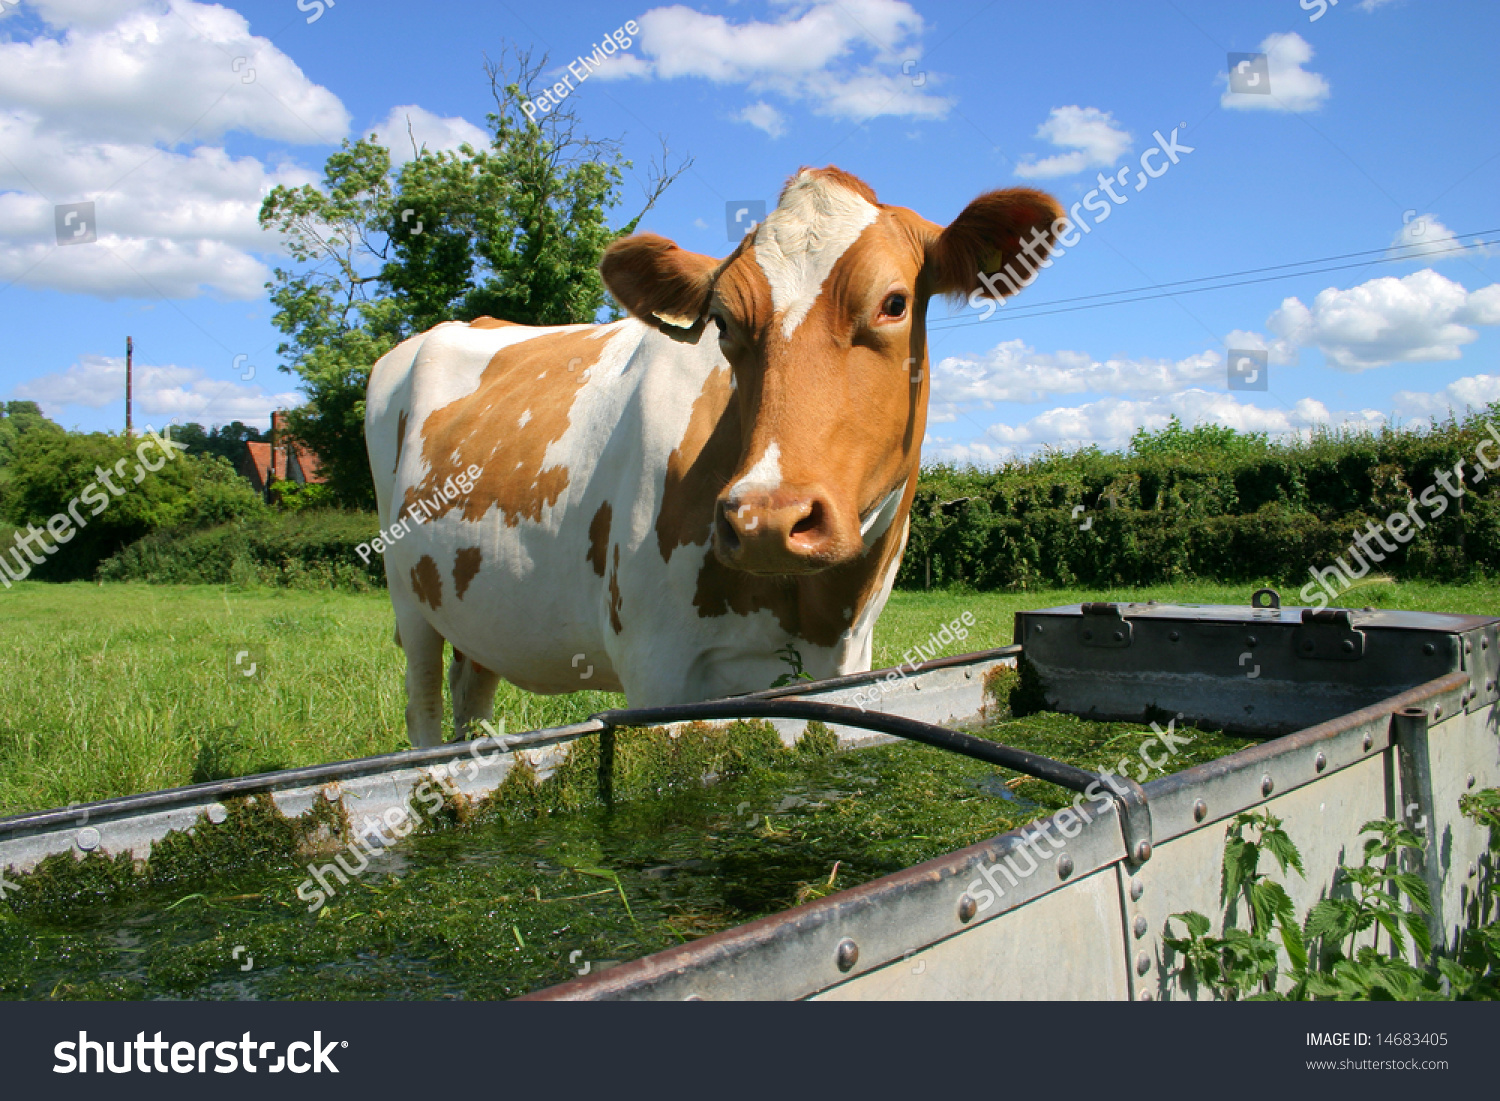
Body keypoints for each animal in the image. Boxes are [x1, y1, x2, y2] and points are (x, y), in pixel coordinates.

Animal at [367, 165, 1062, 750]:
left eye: (894, 302)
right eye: (723, 322)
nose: (767, 521)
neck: (813, 610)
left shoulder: (853, 658)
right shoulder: (655, 668)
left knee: (471, 696)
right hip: (408, 601)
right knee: (423, 711)